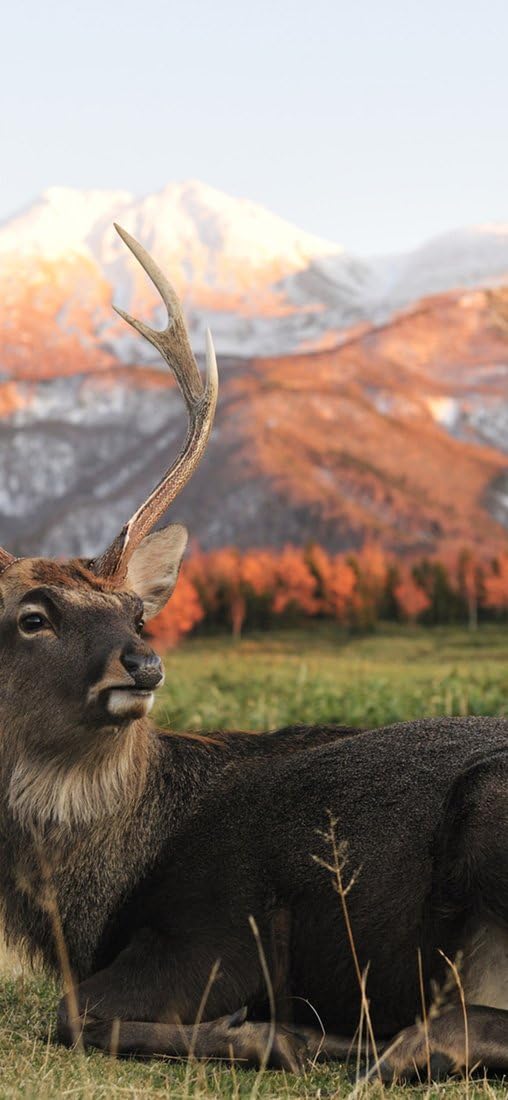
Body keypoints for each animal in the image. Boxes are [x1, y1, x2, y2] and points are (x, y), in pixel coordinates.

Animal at [1, 225, 508, 1082]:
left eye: (136, 612)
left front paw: (261, 1031)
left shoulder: (222, 931)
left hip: (484, 808)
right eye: (32, 616)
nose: (143, 665)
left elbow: (74, 1015)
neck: (89, 907)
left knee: (445, 1026)